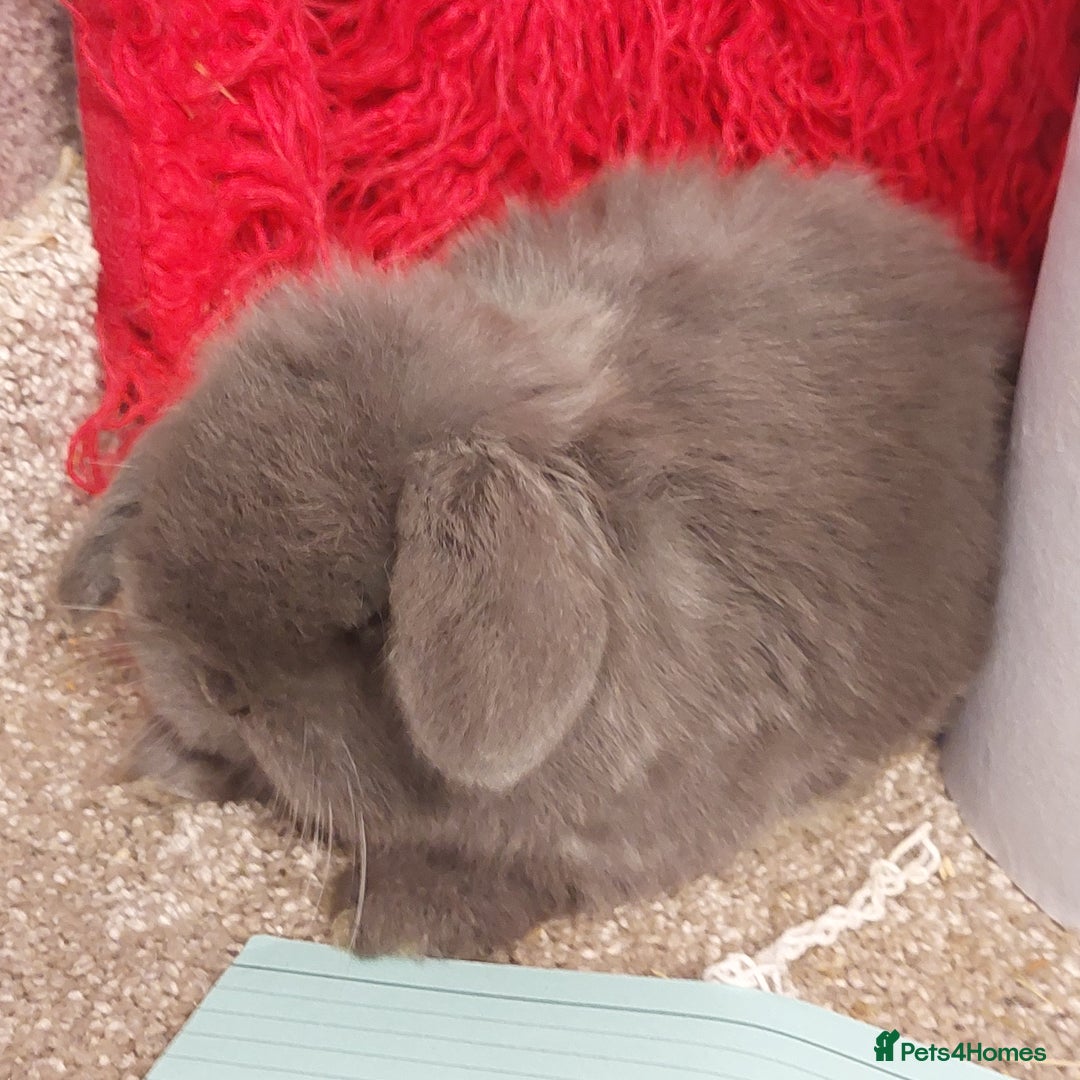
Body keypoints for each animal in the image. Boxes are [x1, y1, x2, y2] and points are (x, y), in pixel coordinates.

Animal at [58, 158, 1022, 959]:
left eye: (375, 619)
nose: (217, 685)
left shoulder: (633, 830)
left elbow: (528, 871)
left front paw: (391, 918)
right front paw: (165, 765)